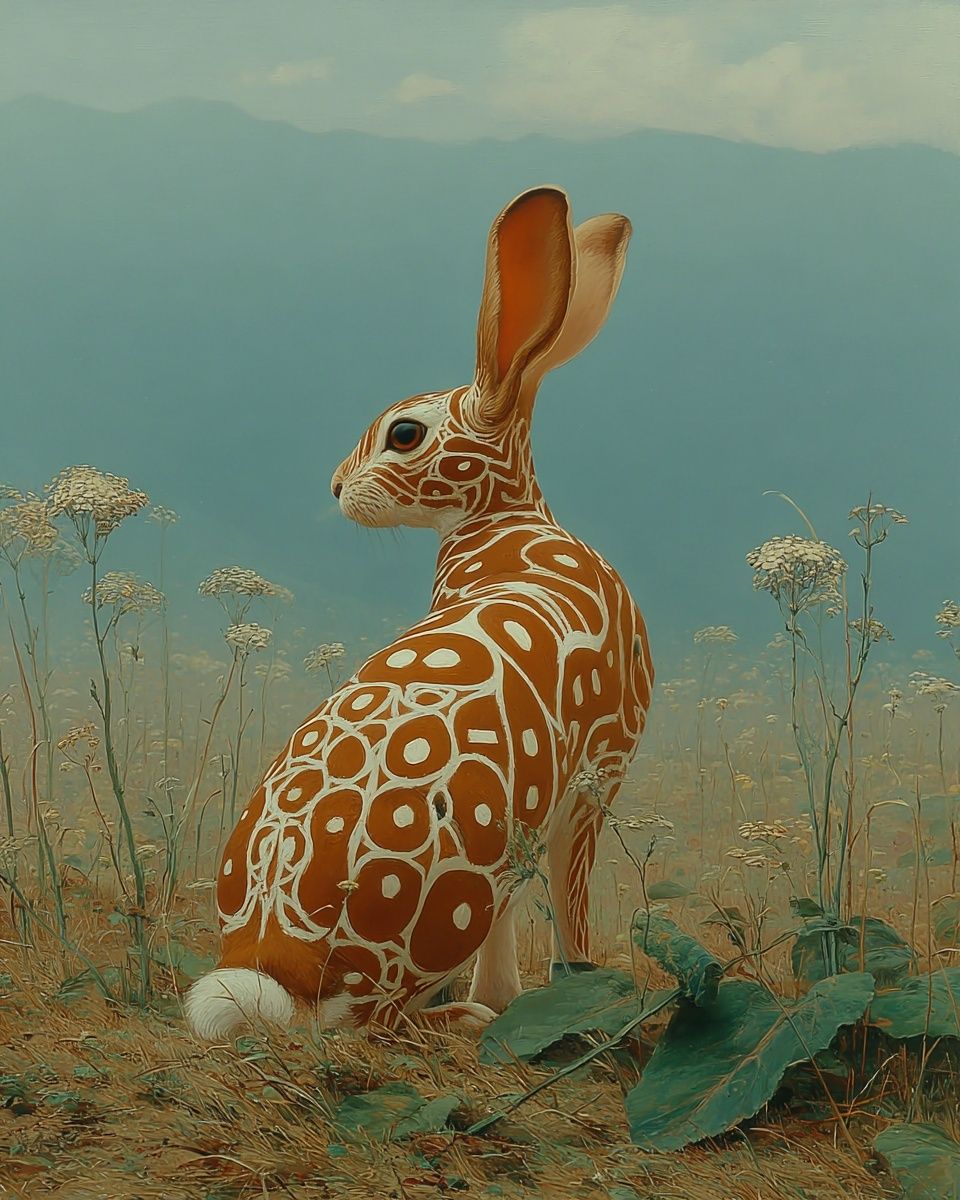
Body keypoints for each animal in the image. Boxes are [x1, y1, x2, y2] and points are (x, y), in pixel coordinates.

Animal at [185, 186, 653, 1040]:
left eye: (405, 433)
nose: (337, 487)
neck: (509, 527)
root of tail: (275, 960)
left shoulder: (571, 796)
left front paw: (515, 996)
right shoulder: (594, 777)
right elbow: (567, 907)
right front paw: (555, 994)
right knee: (378, 1020)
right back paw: (461, 1018)